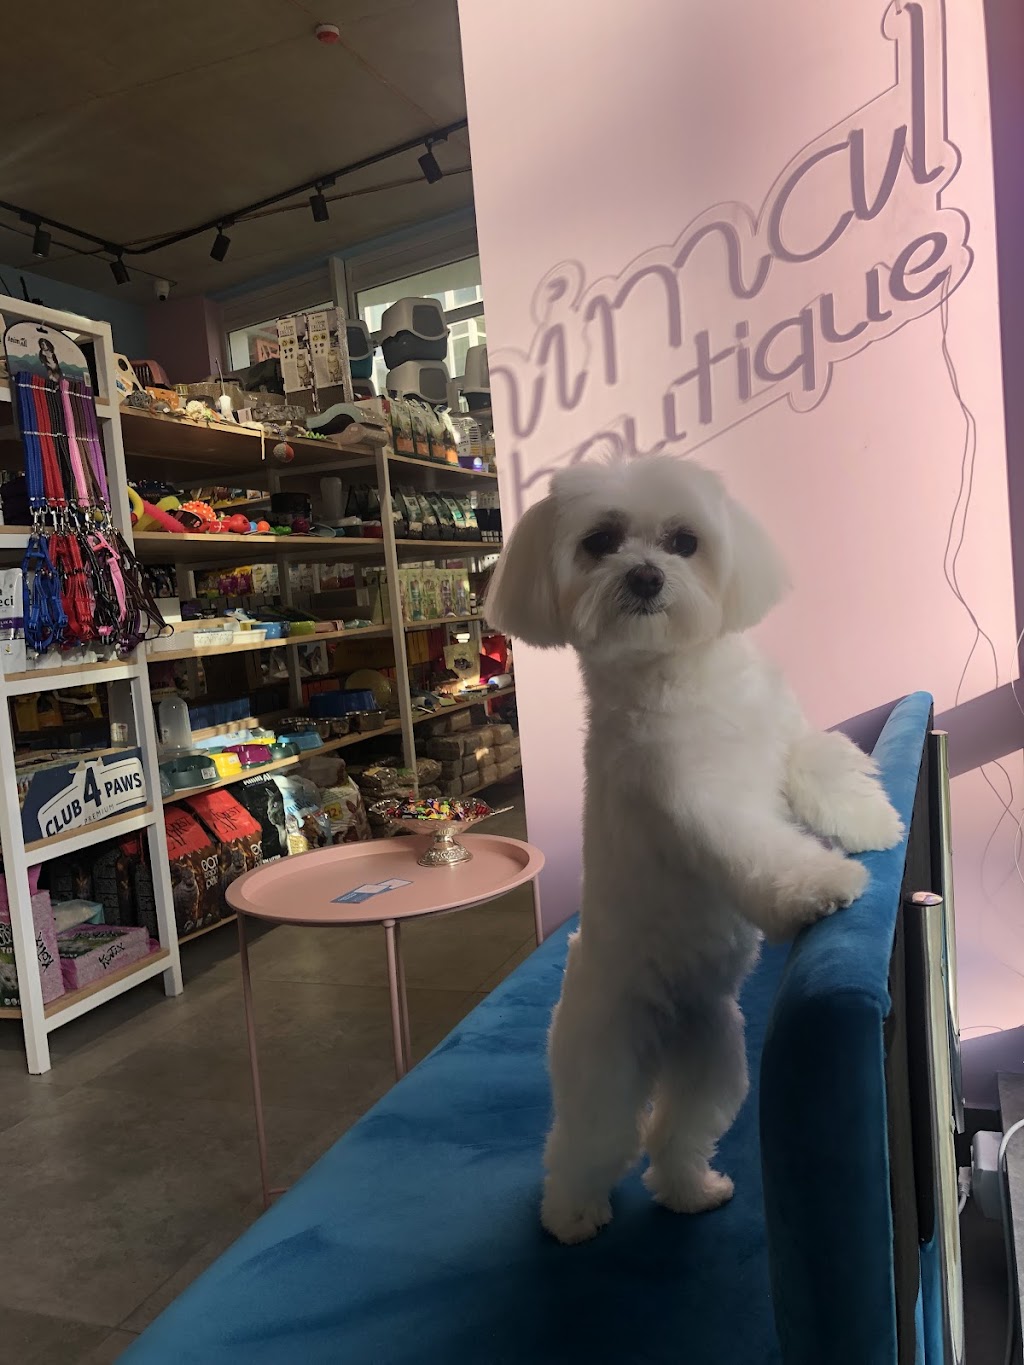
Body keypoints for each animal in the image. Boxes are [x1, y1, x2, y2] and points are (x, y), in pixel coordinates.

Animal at [486, 456, 903, 1245]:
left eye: (685, 542)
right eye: (600, 541)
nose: (646, 576)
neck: (680, 672)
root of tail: (663, 1026)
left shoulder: (784, 739)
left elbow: (824, 767)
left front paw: (872, 824)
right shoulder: (700, 804)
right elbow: (764, 850)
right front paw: (824, 883)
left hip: (717, 1059)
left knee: (675, 1132)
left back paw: (693, 1192)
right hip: (603, 1063)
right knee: (589, 1144)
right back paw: (571, 1216)